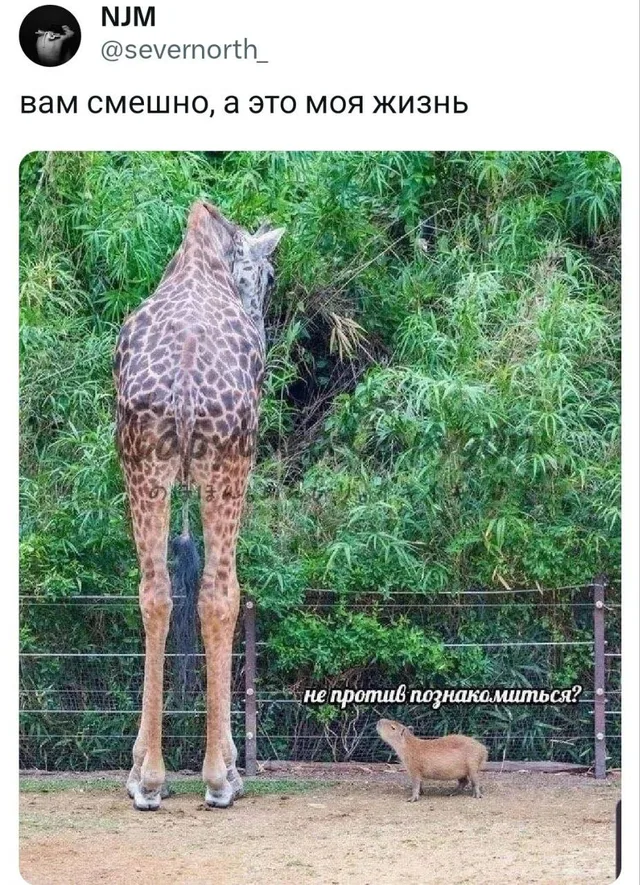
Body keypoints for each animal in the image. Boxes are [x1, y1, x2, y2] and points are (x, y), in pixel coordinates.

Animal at [113, 201, 284, 810]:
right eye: (269, 275)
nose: (262, 319)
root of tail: (186, 385)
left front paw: (143, 767)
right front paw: (230, 763)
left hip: (141, 466)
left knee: (154, 592)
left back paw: (148, 779)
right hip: (227, 467)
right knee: (218, 594)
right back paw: (218, 778)